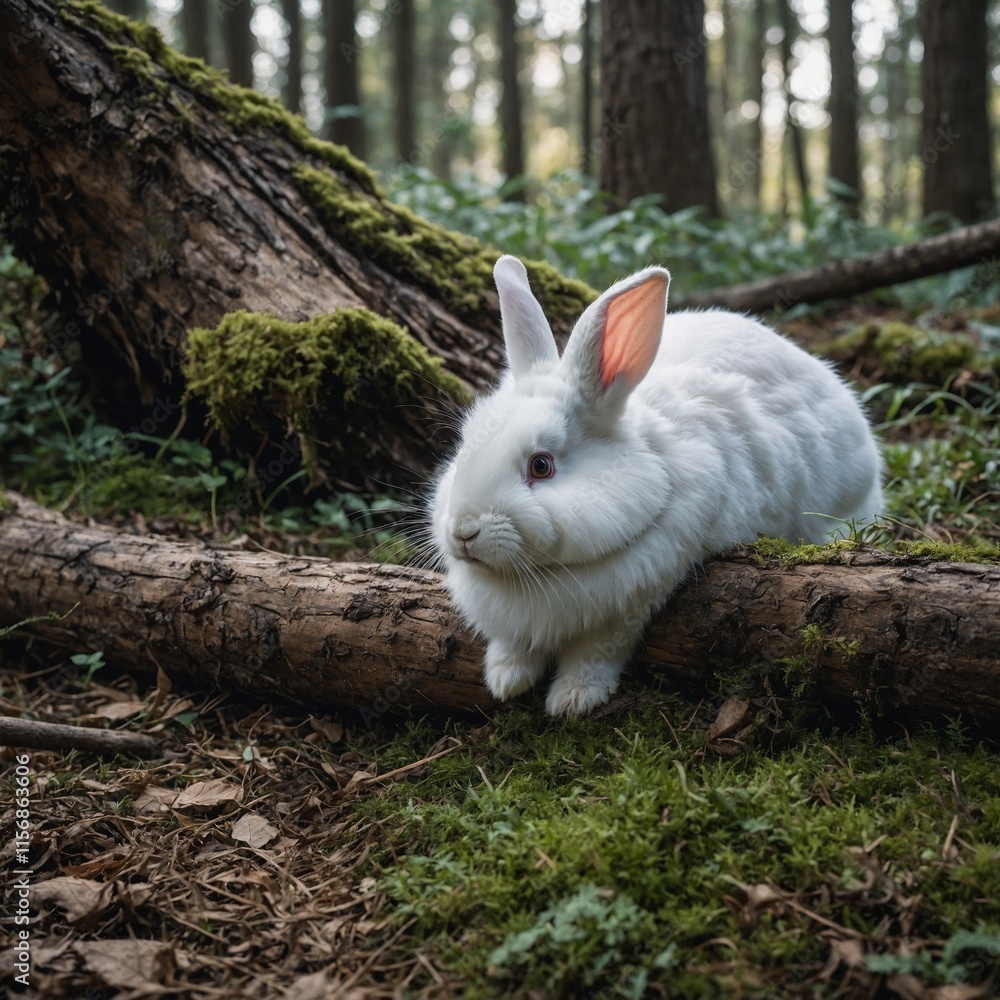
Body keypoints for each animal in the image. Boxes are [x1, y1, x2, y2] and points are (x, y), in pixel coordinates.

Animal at [430, 255, 883, 716]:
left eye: (541, 466)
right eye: (464, 447)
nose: (463, 532)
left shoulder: (631, 605)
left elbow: (596, 654)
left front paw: (574, 699)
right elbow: (511, 645)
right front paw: (505, 680)